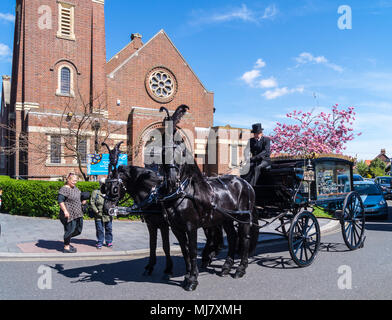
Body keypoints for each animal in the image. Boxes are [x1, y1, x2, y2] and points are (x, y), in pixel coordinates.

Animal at [158, 104, 258, 290]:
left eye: (181, 152)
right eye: (162, 151)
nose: (173, 180)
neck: (183, 192)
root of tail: (246, 184)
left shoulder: (190, 226)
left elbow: (192, 250)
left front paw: (192, 280)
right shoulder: (176, 228)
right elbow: (185, 251)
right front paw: (188, 276)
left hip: (244, 218)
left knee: (244, 240)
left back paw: (240, 269)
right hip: (226, 219)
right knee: (232, 238)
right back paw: (226, 267)